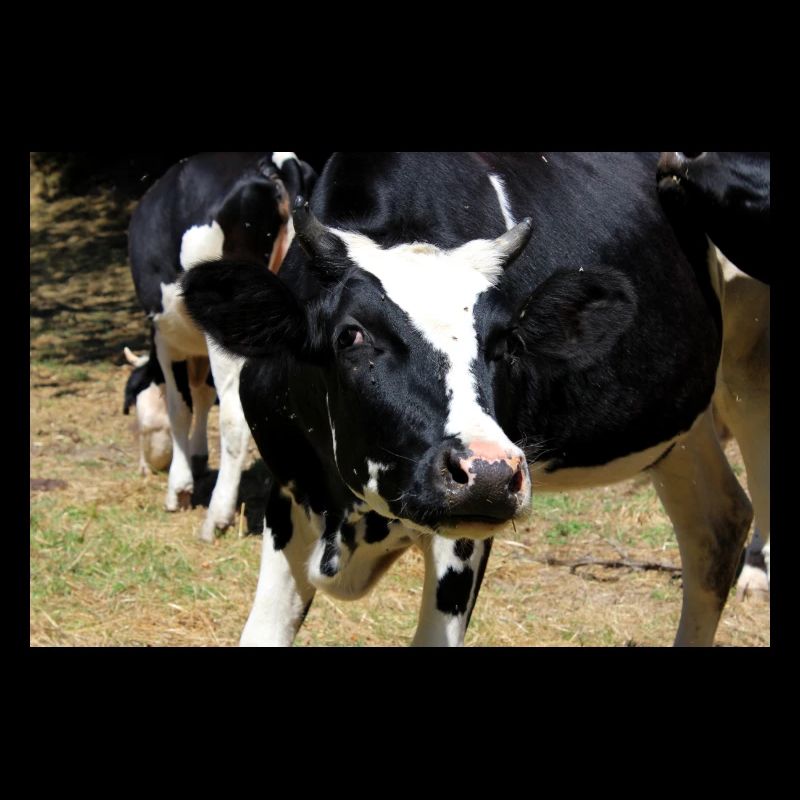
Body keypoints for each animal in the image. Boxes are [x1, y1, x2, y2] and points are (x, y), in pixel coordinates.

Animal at [128, 151, 317, 541]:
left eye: (139, 421)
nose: (147, 467)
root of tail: (273, 163)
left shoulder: (168, 340)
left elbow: (180, 407)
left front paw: (179, 487)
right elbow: (202, 395)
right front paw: (199, 458)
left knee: (234, 418)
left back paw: (217, 516)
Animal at [181, 152, 758, 646]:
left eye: (508, 343)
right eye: (351, 336)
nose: (489, 473)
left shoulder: (462, 538)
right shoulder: (289, 491)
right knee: (717, 526)